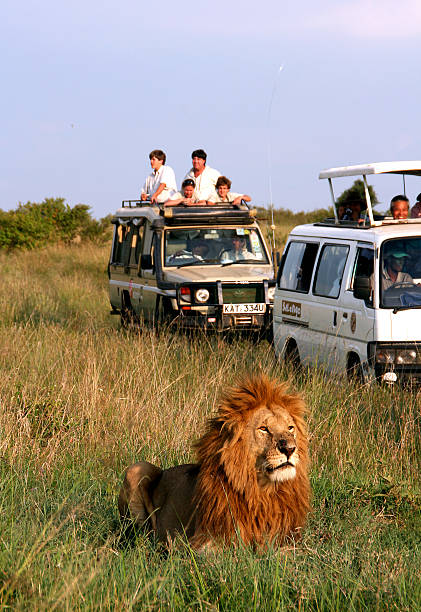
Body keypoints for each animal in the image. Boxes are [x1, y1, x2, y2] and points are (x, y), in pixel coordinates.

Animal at [117, 372, 308, 548]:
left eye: (290, 428)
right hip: (136, 469)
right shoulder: (207, 541)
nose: (290, 449)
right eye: (264, 429)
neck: (263, 491)